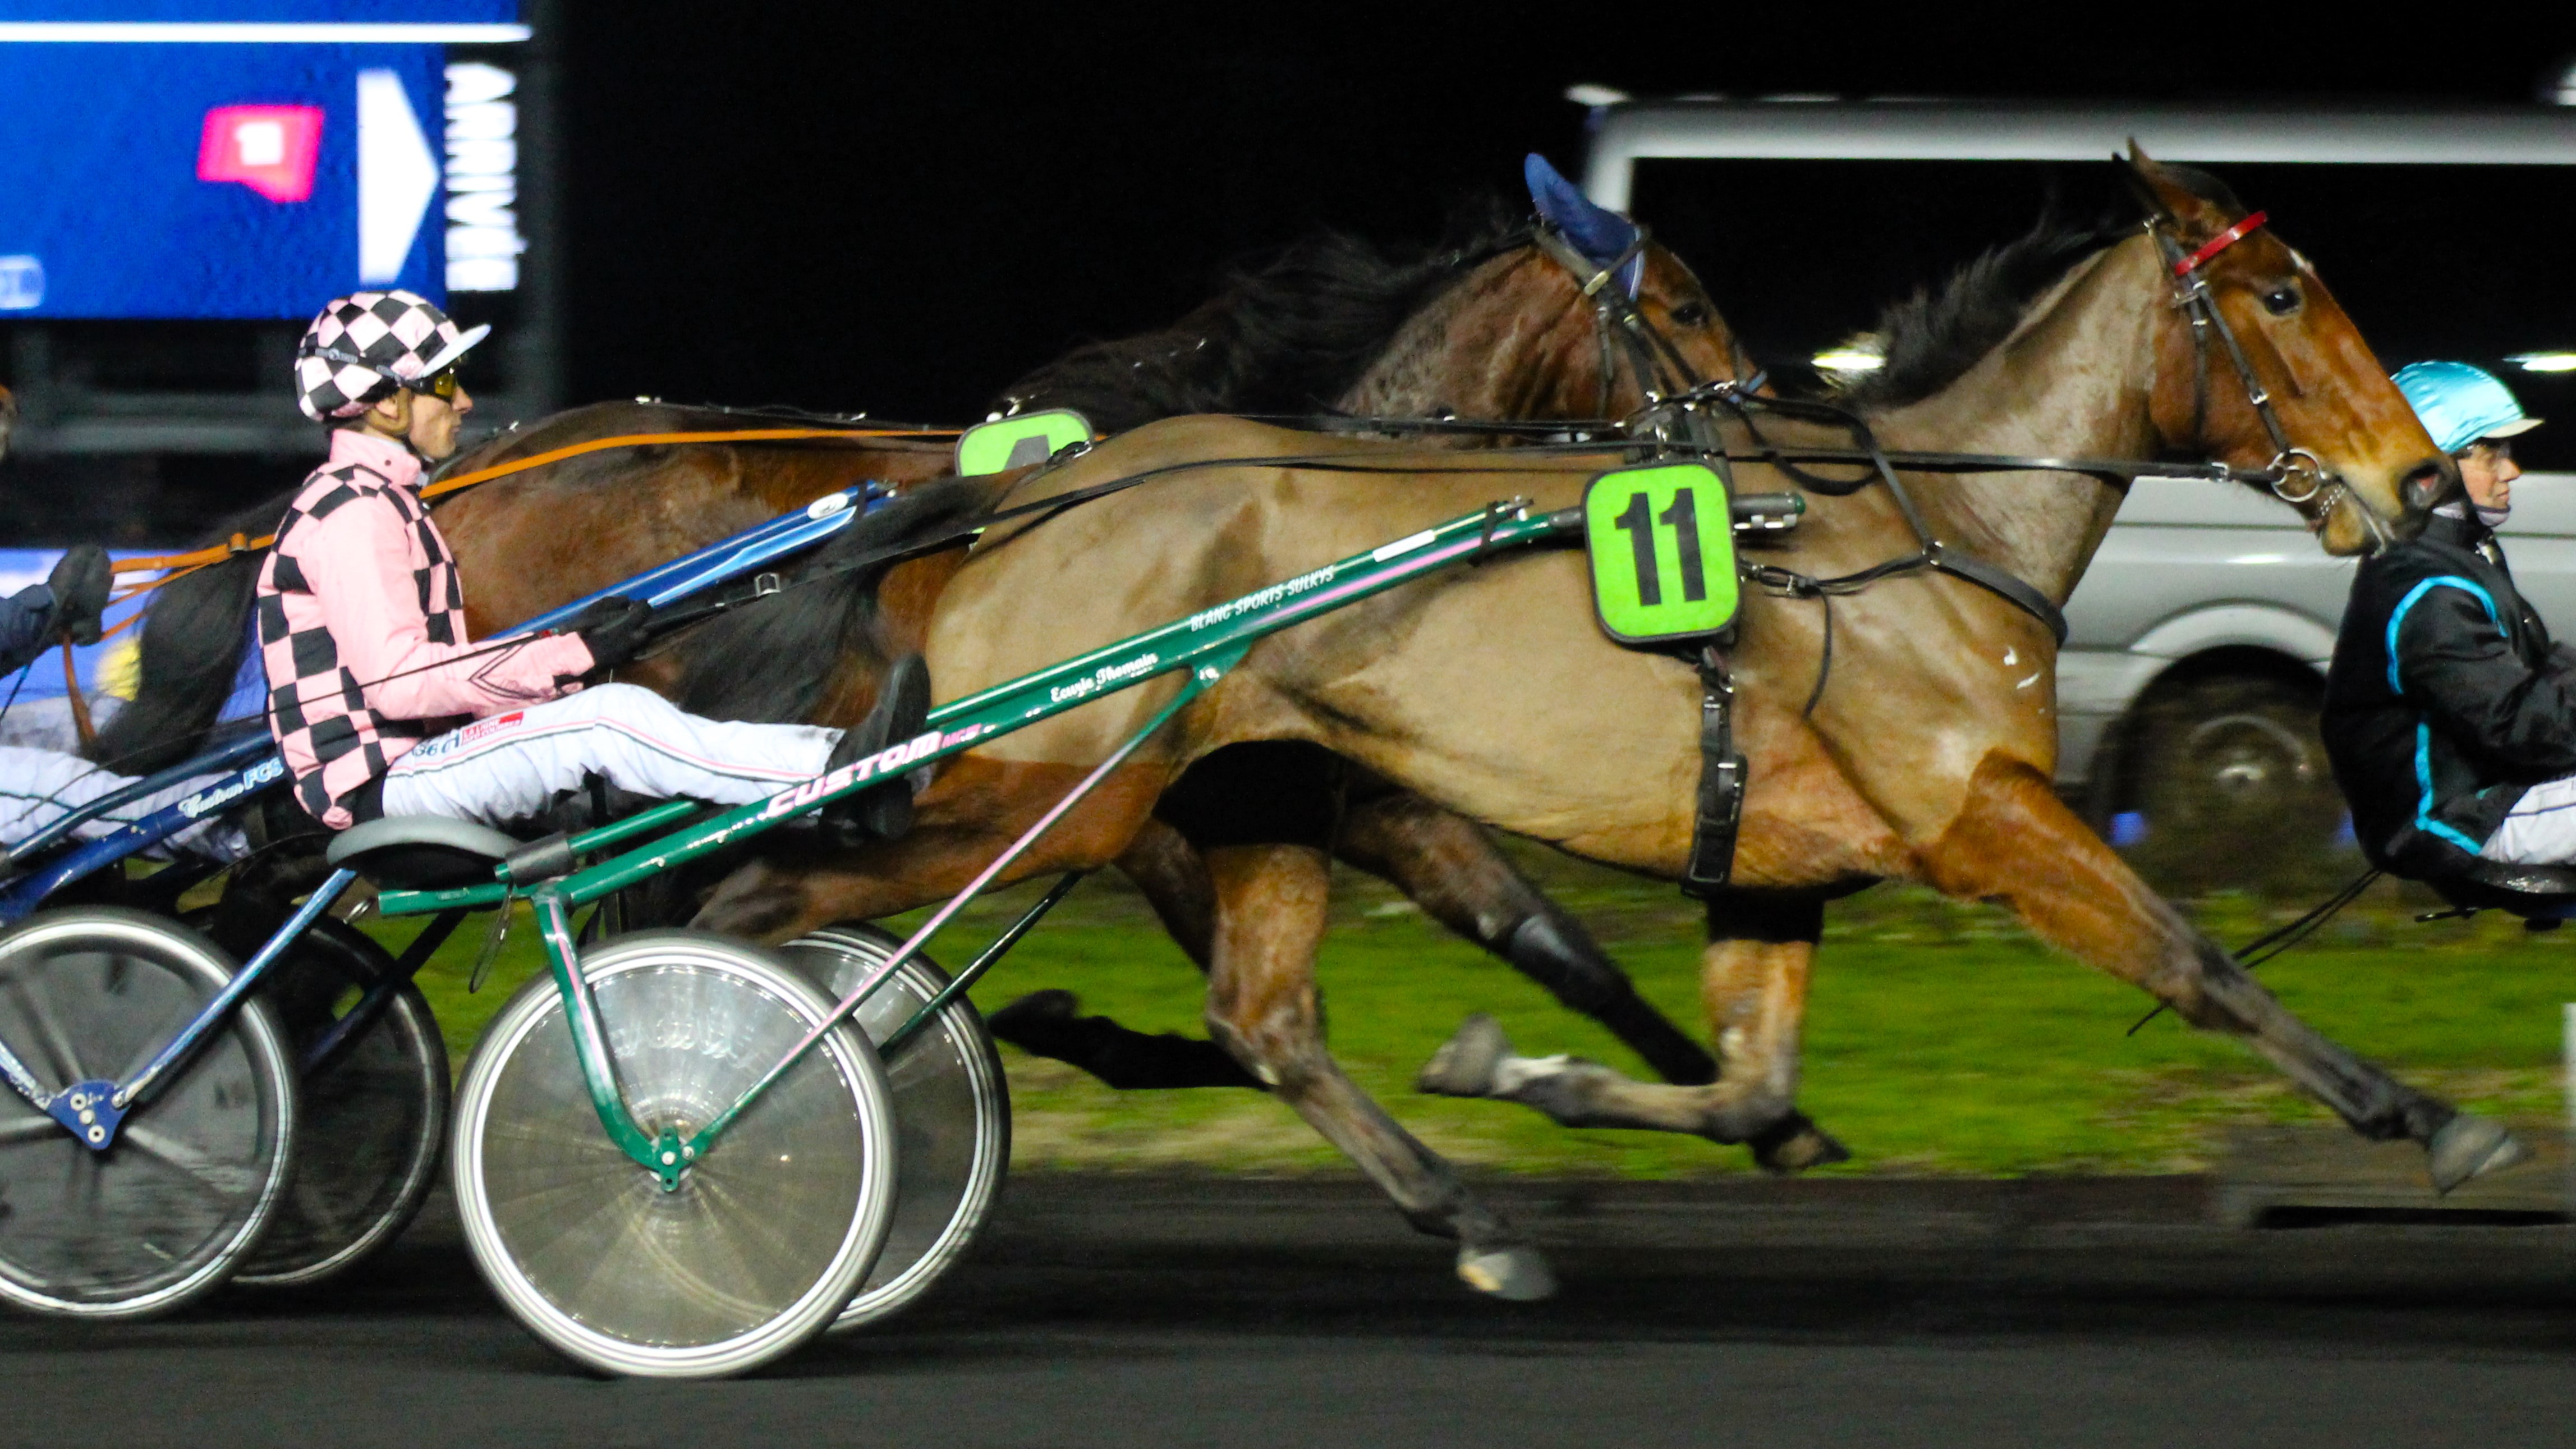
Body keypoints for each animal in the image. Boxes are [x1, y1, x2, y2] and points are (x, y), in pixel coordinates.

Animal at [674, 152, 2483, 1289]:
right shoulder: (1976, 814)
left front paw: (1526, 1071)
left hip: (1241, 793)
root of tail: (1013, 502)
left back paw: (1467, 1213)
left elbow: (1737, 1082)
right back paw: (684, 1105)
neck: (1922, 530)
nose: (2420, 483)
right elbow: (2194, 961)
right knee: (755, 890)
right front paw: (2429, 1115)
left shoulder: (1775, 860)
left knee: (1263, 1015)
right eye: (2276, 296)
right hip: (1051, 792)